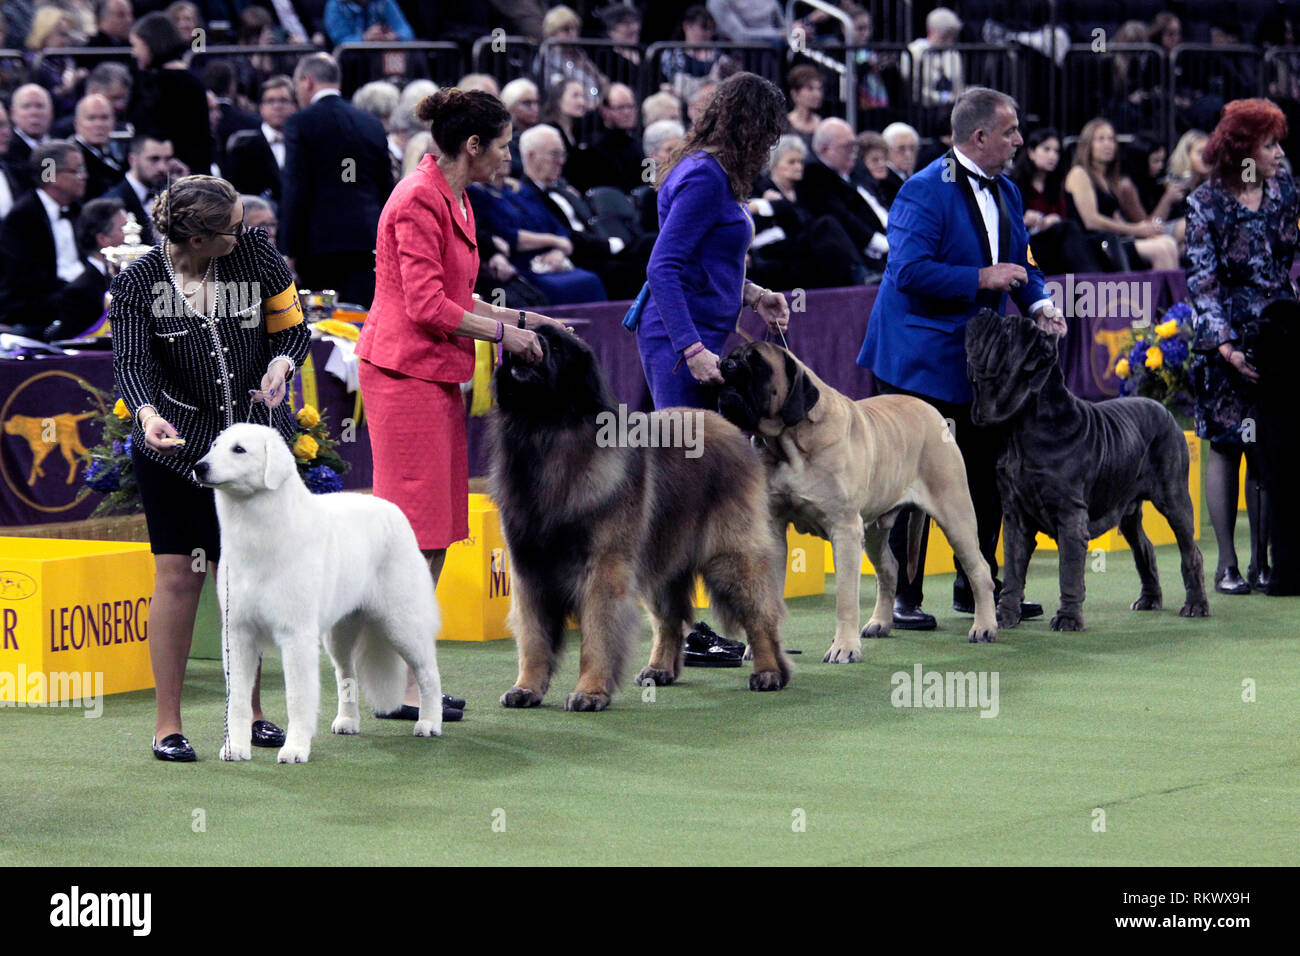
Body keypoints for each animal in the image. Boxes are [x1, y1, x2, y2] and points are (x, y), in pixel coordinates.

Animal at [192, 424, 444, 764]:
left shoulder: (296, 636)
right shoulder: (238, 634)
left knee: (428, 672)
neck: (258, 531)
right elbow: (238, 700)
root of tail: (391, 509)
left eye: (239, 450)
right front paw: (236, 748)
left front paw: (295, 750)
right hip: (338, 636)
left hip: (402, 624)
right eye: (215, 446)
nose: (199, 467)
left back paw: (429, 723)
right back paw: (348, 721)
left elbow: (297, 698)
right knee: (346, 674)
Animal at [488, 327, 785, 712]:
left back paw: (769, 672)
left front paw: (590, 692)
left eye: (553, 345)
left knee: (760, 614)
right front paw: (526, 688)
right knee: (670, 620)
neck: (545, 432)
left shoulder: (604, 569)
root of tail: (724, 422)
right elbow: (533, 638)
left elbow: (598, 634)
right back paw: (659, 669)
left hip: (731, 556)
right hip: (661, 555)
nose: (523, 343)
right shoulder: (529, 569)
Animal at [967, 310, 1206, 632]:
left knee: (1190, 551)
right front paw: (1004, 616)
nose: (982, 312)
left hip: (1175, 499)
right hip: (1128, 511)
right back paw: (1148, 600)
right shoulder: (1015, 516)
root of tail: (1164, 409)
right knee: (1144, 548)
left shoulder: (1070, 515)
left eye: (1006, 330)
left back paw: (1195, 605)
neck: (1023, 428)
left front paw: (1068, 618)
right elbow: (1014, 572)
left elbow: (1068, 571)